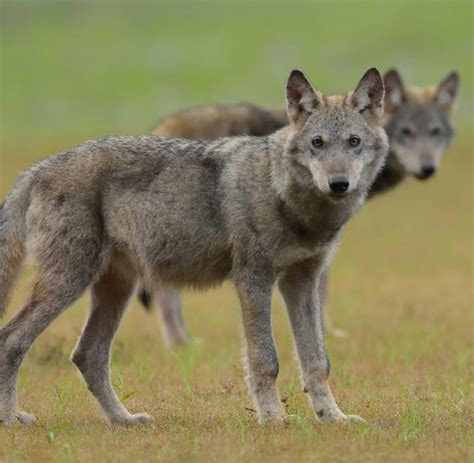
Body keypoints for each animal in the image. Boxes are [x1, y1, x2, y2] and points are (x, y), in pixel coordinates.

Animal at [0, 69, 388, 428]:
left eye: (353, 142)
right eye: (317, 143)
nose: (338, 183)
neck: (290, 200)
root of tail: (36, 169)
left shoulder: (302, 283)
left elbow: (318, 361)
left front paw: (332, 417)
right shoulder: (254, 280)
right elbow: (265, 359)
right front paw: (274, 418)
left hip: (116, 289)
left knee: (87, 355)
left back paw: (123, 420)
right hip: (69, 283)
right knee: (11, 339)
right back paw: (11, 418)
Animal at [141, 68, 460, 344]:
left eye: (434, 132)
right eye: (407, 132)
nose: (427, 169)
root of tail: (161, 125)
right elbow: (323, 288)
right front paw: (328, 333)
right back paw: (179, 344)